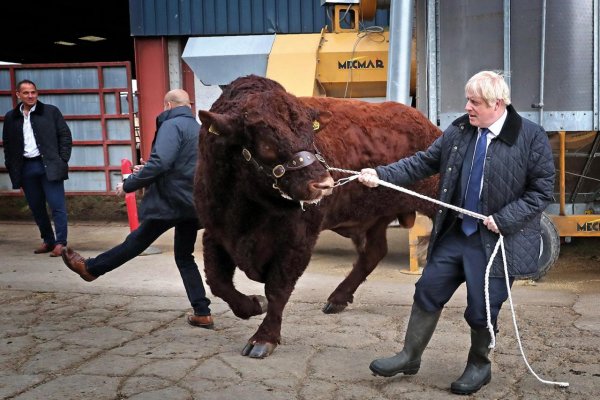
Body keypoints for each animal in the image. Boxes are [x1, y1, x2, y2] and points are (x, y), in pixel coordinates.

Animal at [197, 74, 440, 356]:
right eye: (266, 143)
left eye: (311, 135)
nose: (324, 184)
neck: (248, 208)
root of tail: (424, 122)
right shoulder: (215, 231)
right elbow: (217, 281)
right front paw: (253, 305)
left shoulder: (298, 240)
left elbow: (277, 288)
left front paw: (263, 338)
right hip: (375, 218)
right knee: (374, 252)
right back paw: (337, 298)